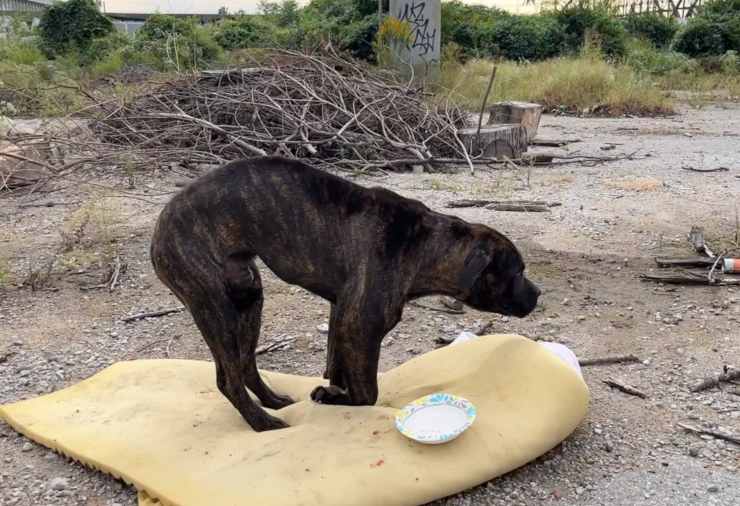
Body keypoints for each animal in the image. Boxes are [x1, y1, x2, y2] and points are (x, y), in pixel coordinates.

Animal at [152, 157, 544, 430]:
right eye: (518, 271)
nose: (538, 293)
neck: (424, 245)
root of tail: (159, 228)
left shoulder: (341, 315)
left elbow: (338, 364)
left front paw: (334, 392)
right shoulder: (361, 326)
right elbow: (369, 393)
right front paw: (337, 400)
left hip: (249, 299)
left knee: (246, 364)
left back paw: (273, 402)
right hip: (216, 307)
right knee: (227, 378)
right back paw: (262, 423)